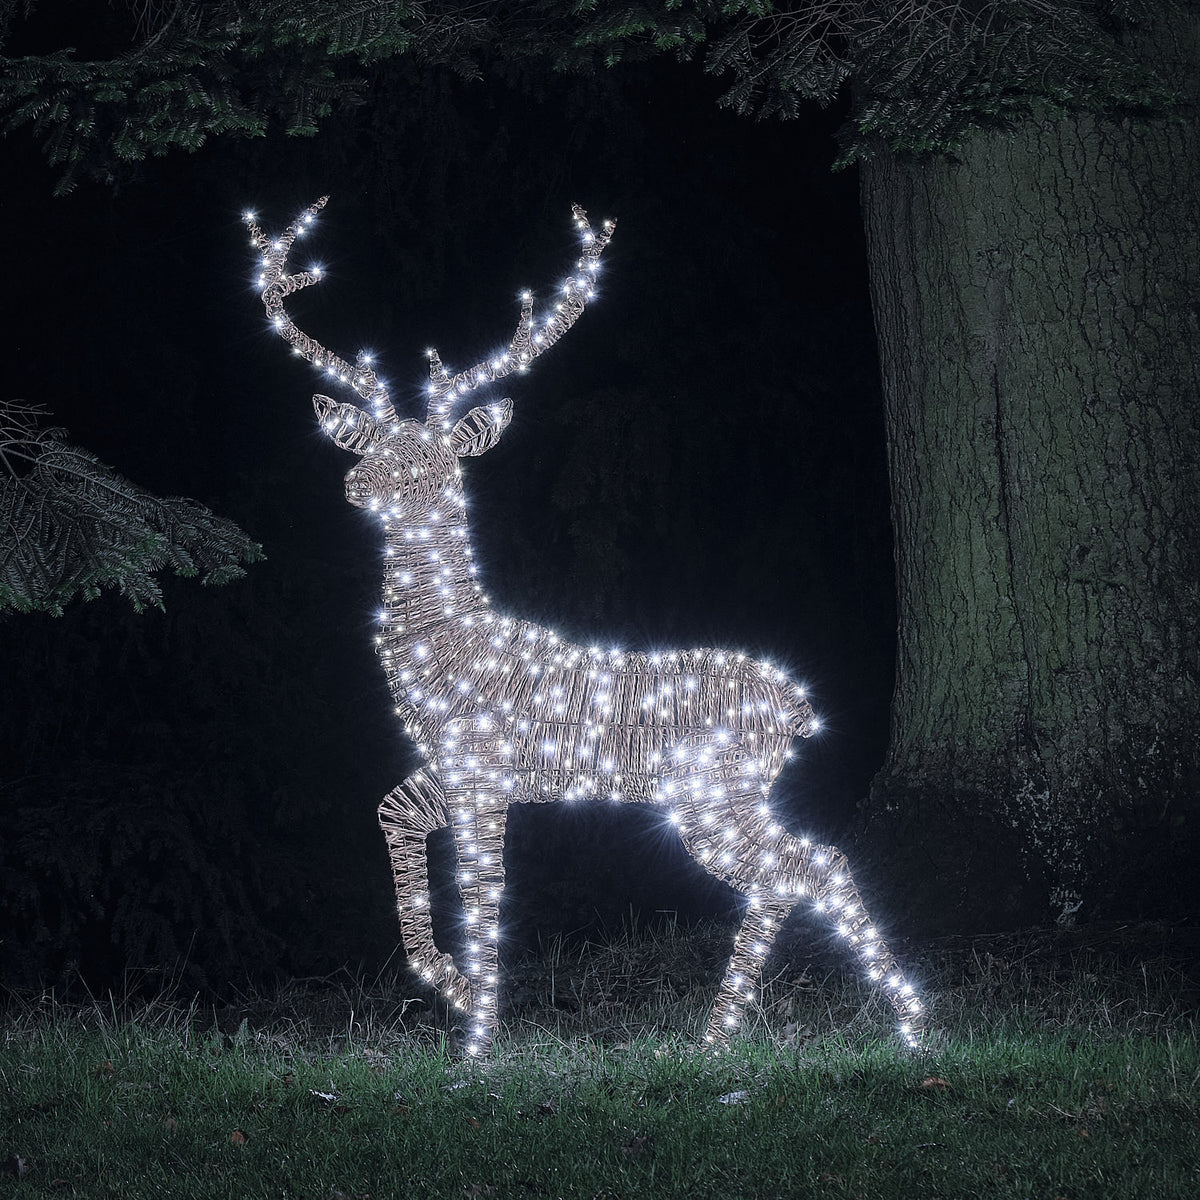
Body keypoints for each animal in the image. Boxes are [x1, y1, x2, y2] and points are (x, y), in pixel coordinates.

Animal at [245, 198, 926, 1055]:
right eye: (376, 443)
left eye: (435, 458)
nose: (360, 482)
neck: (450, 645)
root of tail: (798, 707)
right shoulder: (452, 769)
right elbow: (390, 815)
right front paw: (455, 989)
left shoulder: (483, 767)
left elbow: (485, 890)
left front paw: (480, 1042)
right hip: (723, 795)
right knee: (801, 868)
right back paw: (737, 1034)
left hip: (713, 792)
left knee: (807, 866)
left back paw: (891, 1024)